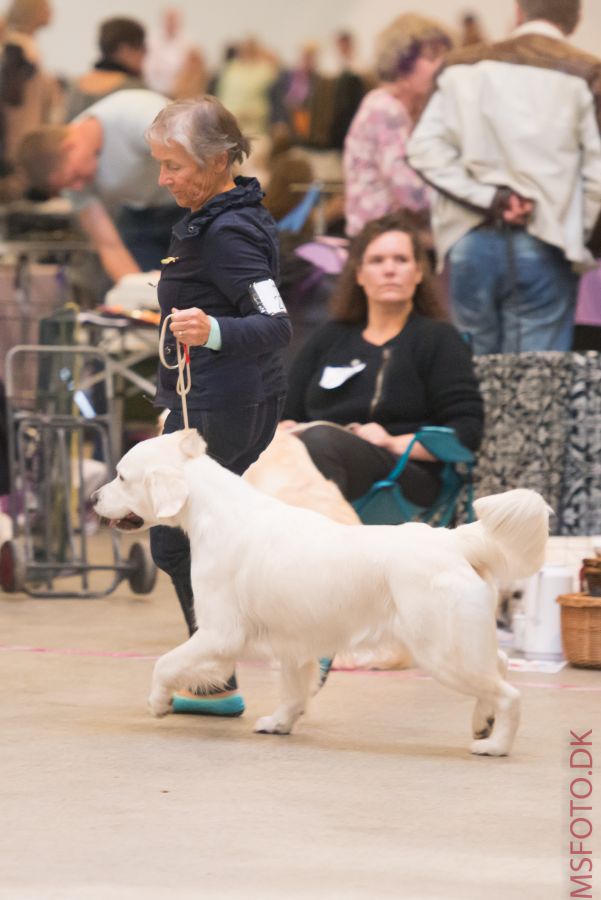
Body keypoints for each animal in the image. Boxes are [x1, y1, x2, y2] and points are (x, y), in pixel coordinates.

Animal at [95, 432, 548, 756]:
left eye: (122, 476)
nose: (94, 498)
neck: (215, 514)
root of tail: (452, 539)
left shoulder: (220, 633)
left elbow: (165, 664)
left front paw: (158, 703)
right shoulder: (292, 641)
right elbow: (294, 690)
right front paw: (280, 723)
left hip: (443, 651)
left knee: (510, 694)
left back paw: (495, 745)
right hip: (460, 642)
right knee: (500, 664)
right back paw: (482, 723)